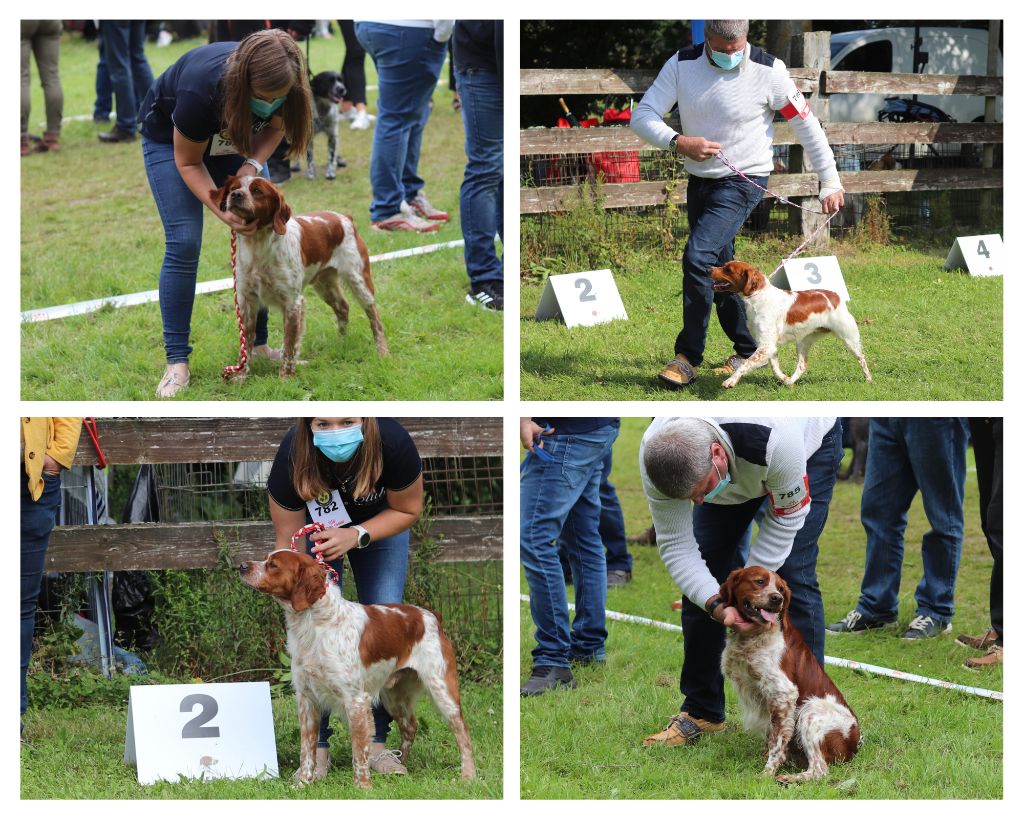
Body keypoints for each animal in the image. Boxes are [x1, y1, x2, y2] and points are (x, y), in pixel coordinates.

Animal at [211, 176, 387, 380]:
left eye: (257, 191)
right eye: (233, 188)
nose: (236, 195)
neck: (258, 245)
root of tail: (345, 218)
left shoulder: (293, 302)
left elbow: (289, 345)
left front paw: (285, 377)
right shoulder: (246, 301)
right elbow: (245, 344)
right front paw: (241, 375)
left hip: (358, 280)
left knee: (374, 316)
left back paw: (382, 351)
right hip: (324, 284)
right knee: (343, 307)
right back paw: (342, 341)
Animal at [240, 548, 475, 786]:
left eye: (273, 565)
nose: (242, 566)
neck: (315, 624)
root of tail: (432, 616)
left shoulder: (355, 699)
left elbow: (359, 751)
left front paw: (363, 786)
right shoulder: (307, 698)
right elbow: (307, 750)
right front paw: (303, 783)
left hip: (442, 689)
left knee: (463, 732)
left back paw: (468, 775)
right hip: (394, 696)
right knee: (411, 726)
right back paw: (401, 764)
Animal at [712, 262, 872, 391]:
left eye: (728, 269)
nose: (709, 269)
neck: (759, 297)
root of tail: (835, 296)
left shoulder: (766, 346)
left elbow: (745, 364)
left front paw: (730, 381)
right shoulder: (769, 346)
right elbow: (775, 368)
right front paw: (785, 380)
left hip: (849, 338)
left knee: (862, 358)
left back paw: (869, 379)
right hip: (803, 341)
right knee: (802, 366)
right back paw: (791, 380)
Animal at [716, 565, 860, 782]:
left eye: (781, 589)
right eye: (759, 581)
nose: (777, 599)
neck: (754, 636)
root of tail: (855, 744)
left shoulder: (783, 693)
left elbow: (777, 742)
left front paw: (766, 774)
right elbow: (773, 737)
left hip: (811, 711)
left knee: (819, 769)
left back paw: (788, 778)